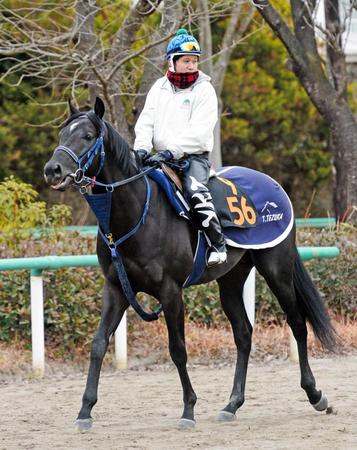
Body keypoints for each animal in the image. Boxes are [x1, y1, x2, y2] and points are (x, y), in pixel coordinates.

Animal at [43, 98, 336, 432]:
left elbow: (178, 350)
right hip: (231, 281)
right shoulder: (116, 289)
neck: (137, 214)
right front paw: (85, 411)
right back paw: (232, 405)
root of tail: (274, 185)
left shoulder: (171, 293)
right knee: (244, 334)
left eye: (88, 136)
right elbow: (98, 344)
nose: (52, 170)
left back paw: (315, 394)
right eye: (62, 133)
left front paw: (188, 409)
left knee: (297, 323)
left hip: (277, 270)